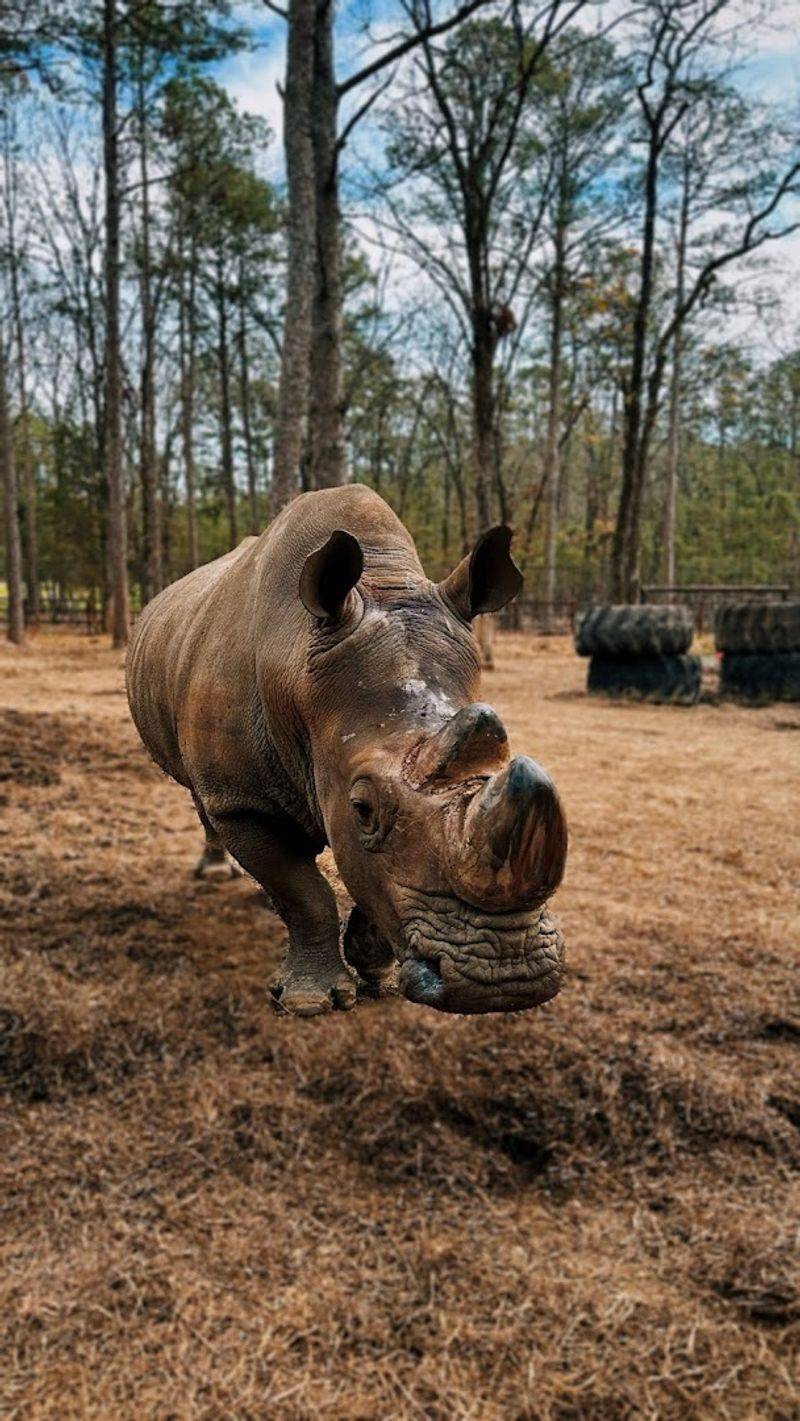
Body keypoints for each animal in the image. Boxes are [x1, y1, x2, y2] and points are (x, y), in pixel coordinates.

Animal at [126, 485, 567, 1017]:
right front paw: (310, 1002)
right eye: (362, 809)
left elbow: (375, 878)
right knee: (202, 795)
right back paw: (218, 874)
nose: (506, 978)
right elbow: (304, 890)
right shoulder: (243, 800)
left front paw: (376, 971)